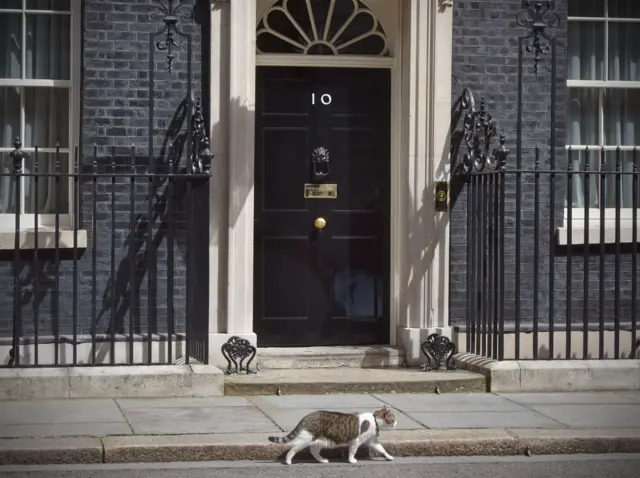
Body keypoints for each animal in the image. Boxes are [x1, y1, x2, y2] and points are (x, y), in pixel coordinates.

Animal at [264, 406, 396, 464]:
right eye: (393, 419)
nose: (396, 423)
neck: (374, 420)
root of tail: (308, 416)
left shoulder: (372, 441)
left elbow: (381, 449)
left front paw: (388, 456)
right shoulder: (355, 441)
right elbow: (352, 451)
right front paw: (352, 460)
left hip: (321, 441)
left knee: (313, 451)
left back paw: (322, 460)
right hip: (307, 438)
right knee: (293, 448)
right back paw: (288, 460)